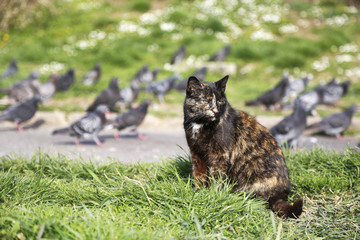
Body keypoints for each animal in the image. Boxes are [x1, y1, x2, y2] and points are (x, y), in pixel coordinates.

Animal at [184, 76, 302, 218]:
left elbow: (215, 179)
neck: (199, 124)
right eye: (206, 100)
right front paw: (198, 194)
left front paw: (212, 196)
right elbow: (198, 176)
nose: (216, 111)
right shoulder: (196, 153)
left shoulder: (219, 155)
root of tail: (281, 194)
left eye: (220, 101)